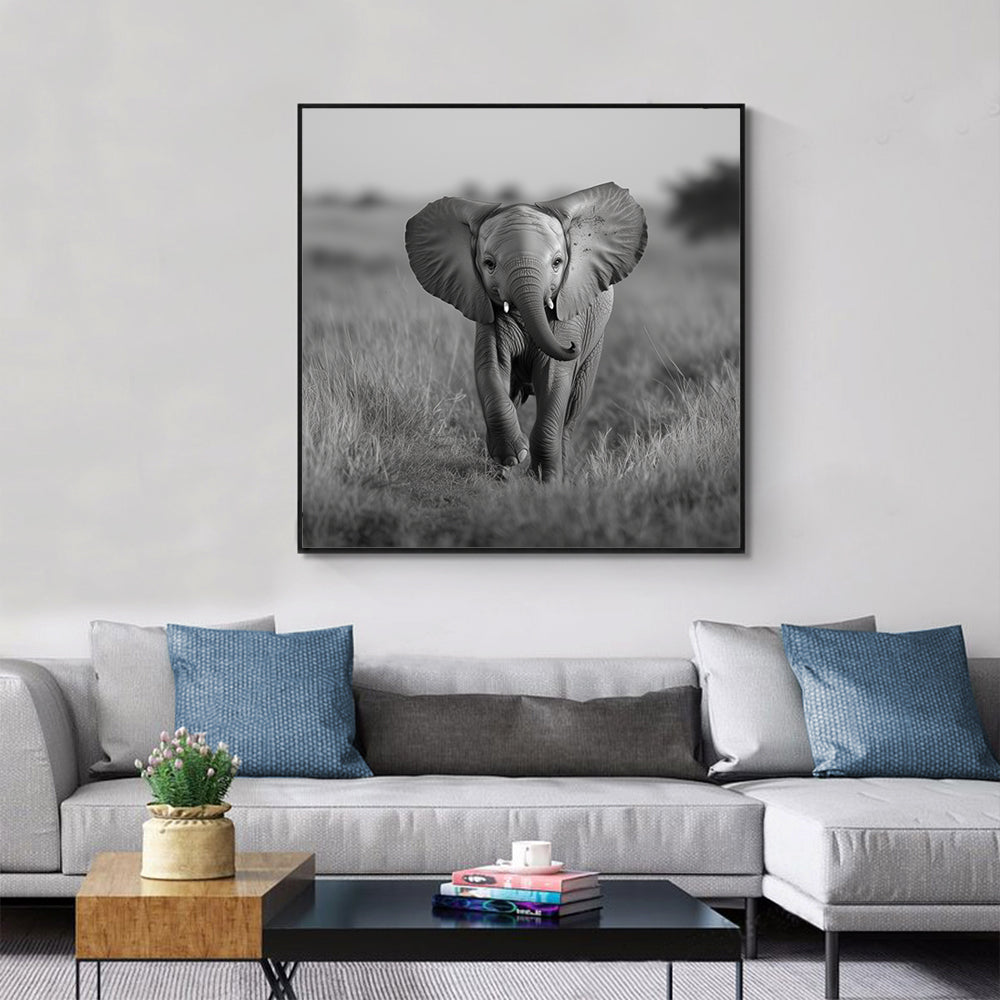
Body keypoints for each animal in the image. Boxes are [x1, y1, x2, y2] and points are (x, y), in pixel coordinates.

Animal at [404, 182, 647, 482]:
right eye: (489, 264)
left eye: (557, 263)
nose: (571, 346)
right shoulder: (488, 312)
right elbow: (491, 367)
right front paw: (513, 457)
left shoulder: (569, 315)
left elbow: (554, 378)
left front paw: (545, 480)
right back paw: (499, 473)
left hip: (595, 344)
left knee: (574, 407)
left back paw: (559, 473)